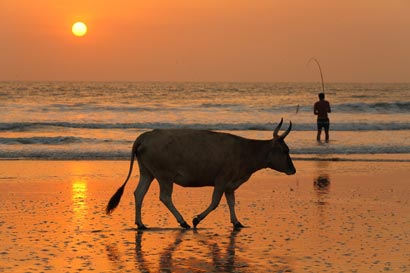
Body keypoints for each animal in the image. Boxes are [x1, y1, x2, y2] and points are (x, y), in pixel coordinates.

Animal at [105, 118, 296, 228]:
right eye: (285, 150)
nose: (293, 170)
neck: (245, 150)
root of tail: (145, 136)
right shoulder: (221, 180)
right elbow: (215, 202)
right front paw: (197, 219)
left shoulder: (230, 184)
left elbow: (232, 202)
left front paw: (237, 222)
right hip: (164, 175)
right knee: (165, 197)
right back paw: (183, 222)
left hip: (147, 172)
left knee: (139, 193)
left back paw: (140, 224)